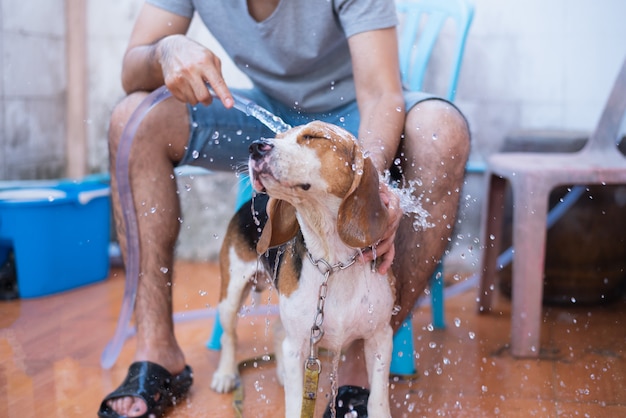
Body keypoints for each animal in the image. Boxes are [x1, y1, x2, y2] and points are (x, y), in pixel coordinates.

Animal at [211, 119, 394, 416]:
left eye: (314, 136)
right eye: (278, 136)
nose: (255, 146)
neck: (332, 263)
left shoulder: (380, 339)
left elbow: (378, 400)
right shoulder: (300, 346)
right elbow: (297, 405)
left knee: (277, 332)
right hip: (231, 293)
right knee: (230, 336)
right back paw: (226, 374)